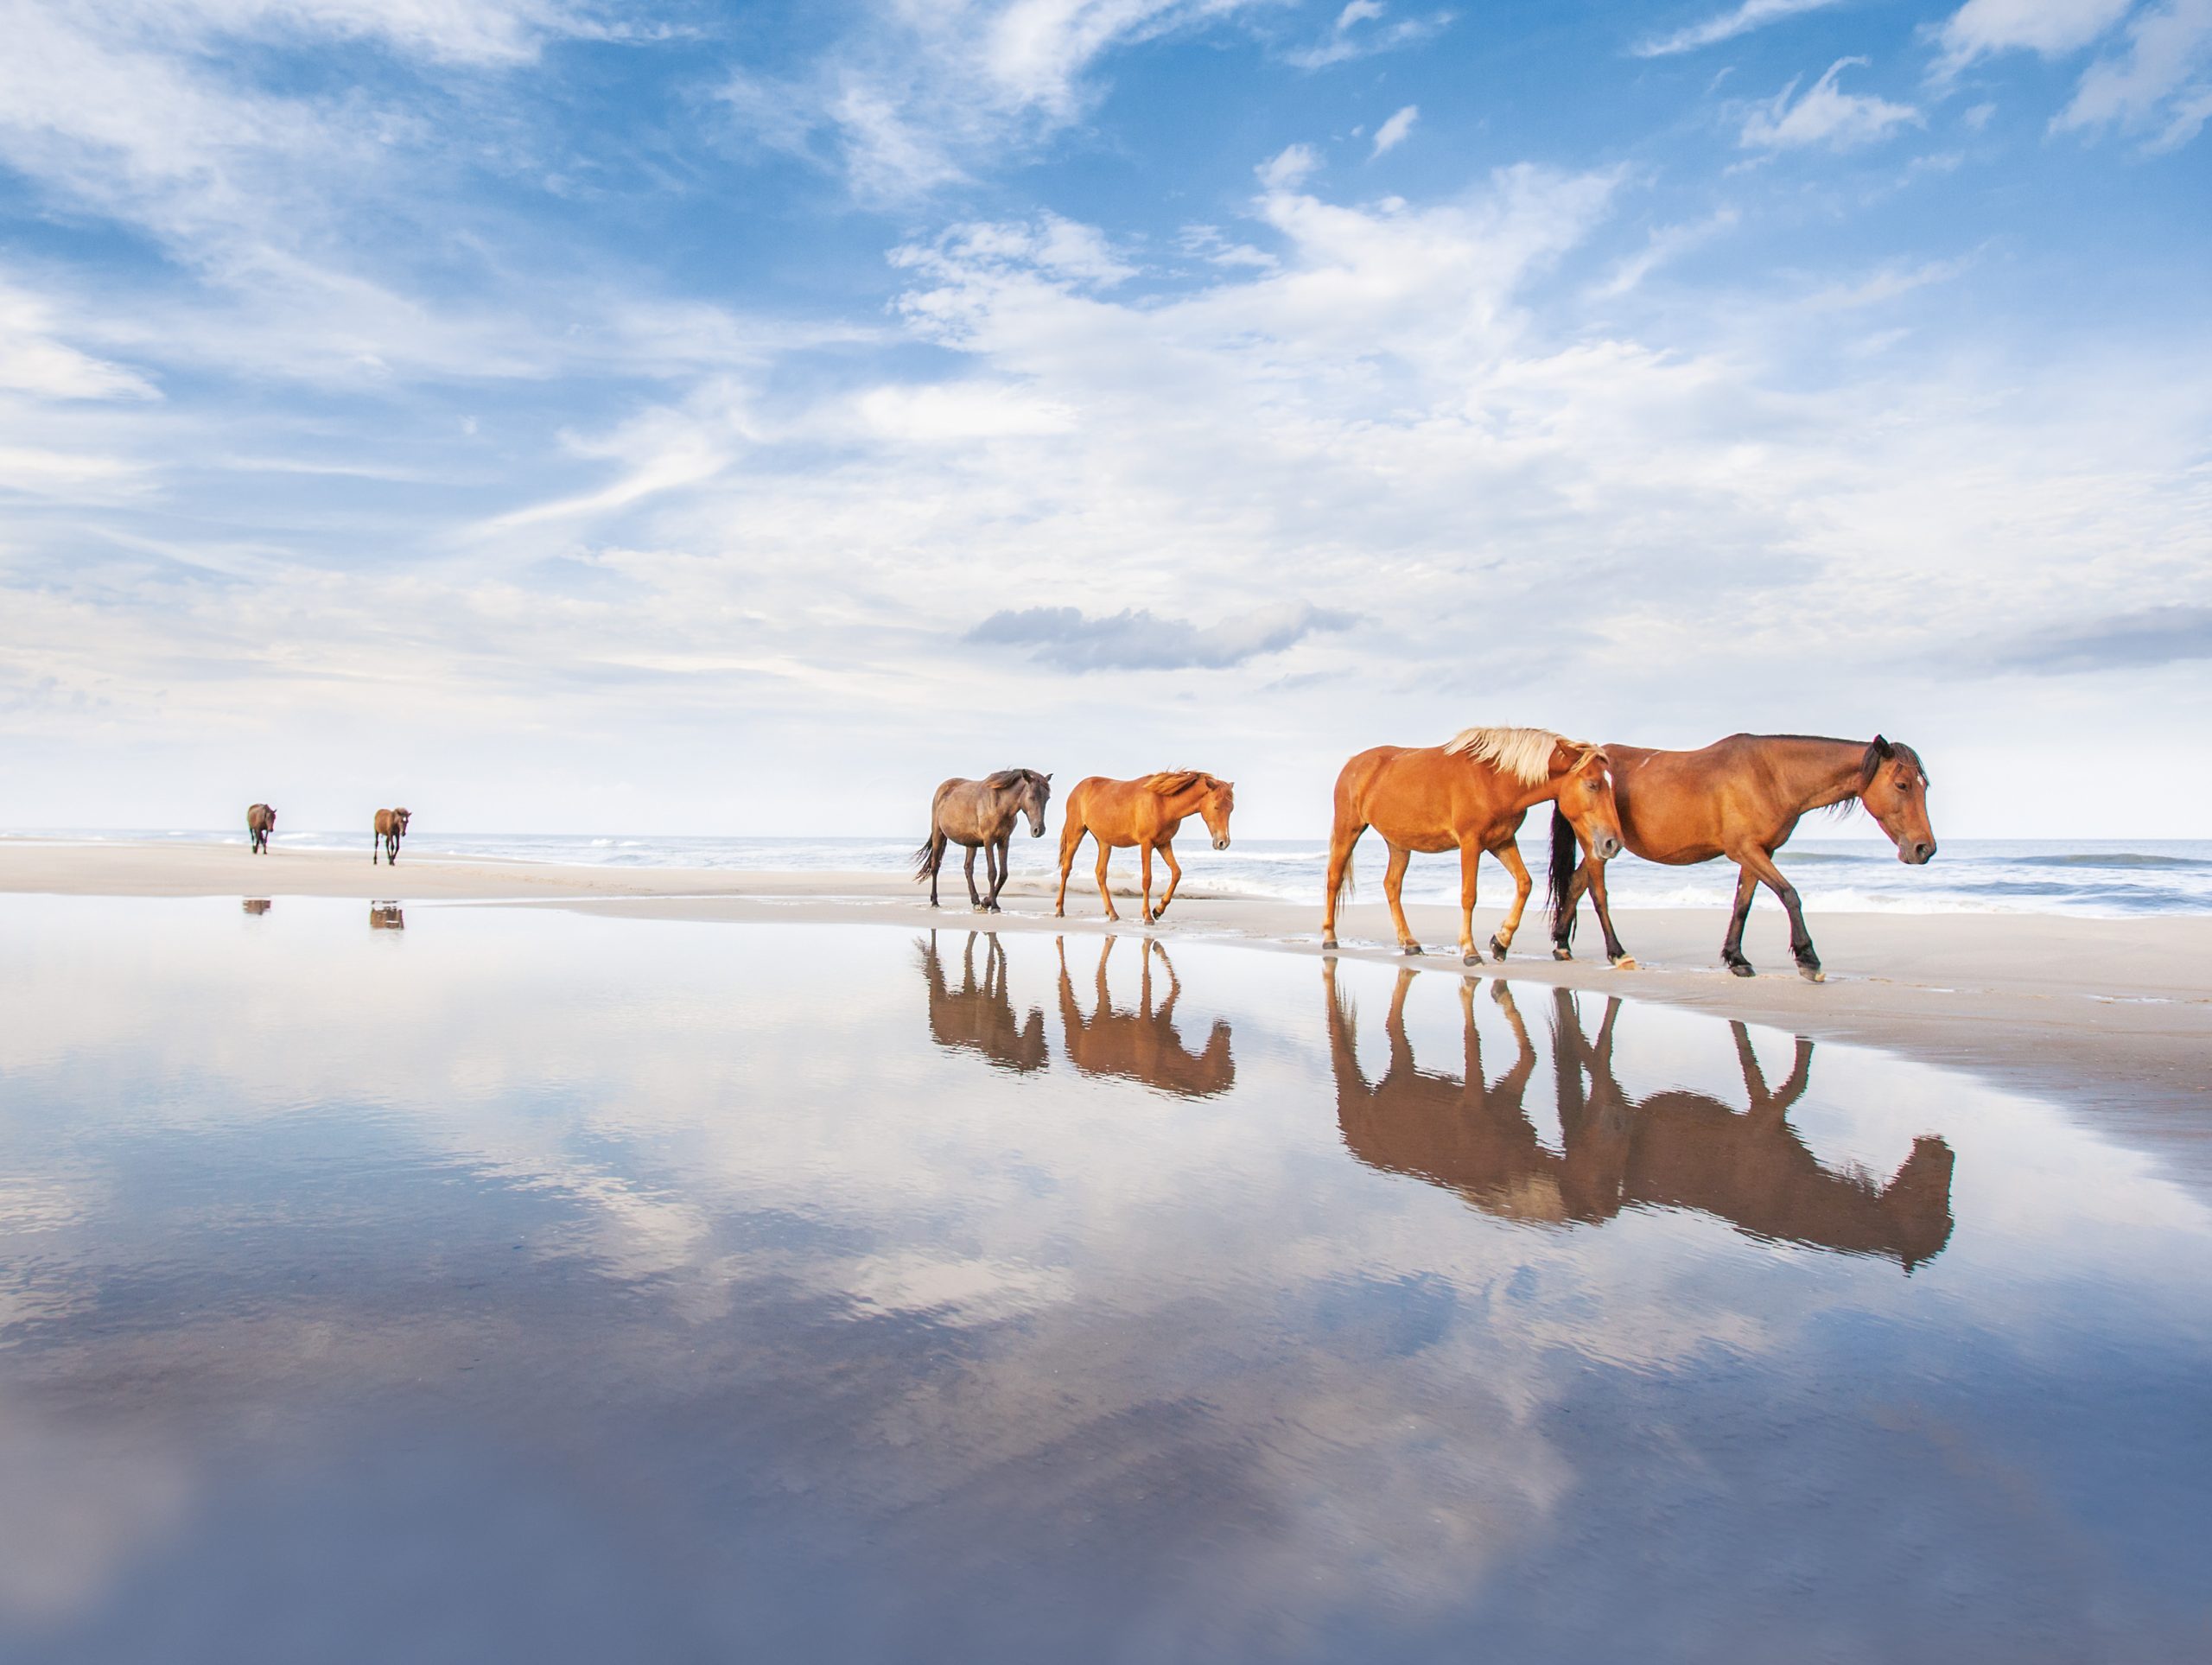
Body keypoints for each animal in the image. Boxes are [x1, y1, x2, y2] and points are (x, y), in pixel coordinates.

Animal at [915, 770, 1052, 912]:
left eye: (1047, 798)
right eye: (1031, 797)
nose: (1039, 830)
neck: (1000, 804)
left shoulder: (1004, 841)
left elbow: (1003, 874)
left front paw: (986, 902)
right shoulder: (988, 840)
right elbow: (992, 872)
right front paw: (994, 906)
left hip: (970, 843)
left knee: (968, 868)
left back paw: (975, 901)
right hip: (938, 834)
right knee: (935, 866)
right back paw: (935, 901)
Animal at [1053, 771, 1234, 924]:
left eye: (1231, 809)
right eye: (1216, 806)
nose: (1223, 842)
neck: (1164, 802)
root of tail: (1078, 788)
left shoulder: (1164, 844)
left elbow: (1176, 873)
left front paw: (1158, 910)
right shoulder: (1146, 844)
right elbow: (1147, 879)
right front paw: (1148, 916)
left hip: (1104, 842)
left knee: (1100, 873)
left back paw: (1112, 913)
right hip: (1076, 834)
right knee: (1066, 869)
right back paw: (1060, 910)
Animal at [1056, 935, 1235, 1098]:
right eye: (1223, 1065)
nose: (1225, 1030)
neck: (1165, 1059)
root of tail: (1075, 1059)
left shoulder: (1164, 1021)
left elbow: (1177, 986)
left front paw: (1157, 947)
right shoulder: (1145, 1020)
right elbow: (1147, 979)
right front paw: (1150, 945)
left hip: (1101, 1013)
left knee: (1098, 974)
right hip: (1084, 1017)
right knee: (1070, 980)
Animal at [1321, 726, 1623, 964]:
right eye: (1592, 784)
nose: (1613, 843)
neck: (1494, 779)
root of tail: (1353, 764)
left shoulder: (1502, 841)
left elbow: (1524, 883)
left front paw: (1500, 942)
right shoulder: (1470, 842)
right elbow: (1469, 895)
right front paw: (1470, 951)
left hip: (1398, 843)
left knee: (1392, 886)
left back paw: (1410, 943)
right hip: (1349, 829)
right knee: (1334, 879)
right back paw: (1329, 937)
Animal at [1548, 733, 1936, 981]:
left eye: (1924, 786)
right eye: (1902, 785)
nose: (1924, 849)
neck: (1772, 775)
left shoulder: (1758, 852)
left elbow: (1743, 904)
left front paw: (1736, 959)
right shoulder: (1746, 851)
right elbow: (1790, 895)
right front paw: (1808, 959)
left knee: (1577, 883)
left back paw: (1562, 944)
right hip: (1597, 843)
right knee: (1597, 891)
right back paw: (1617, 952)